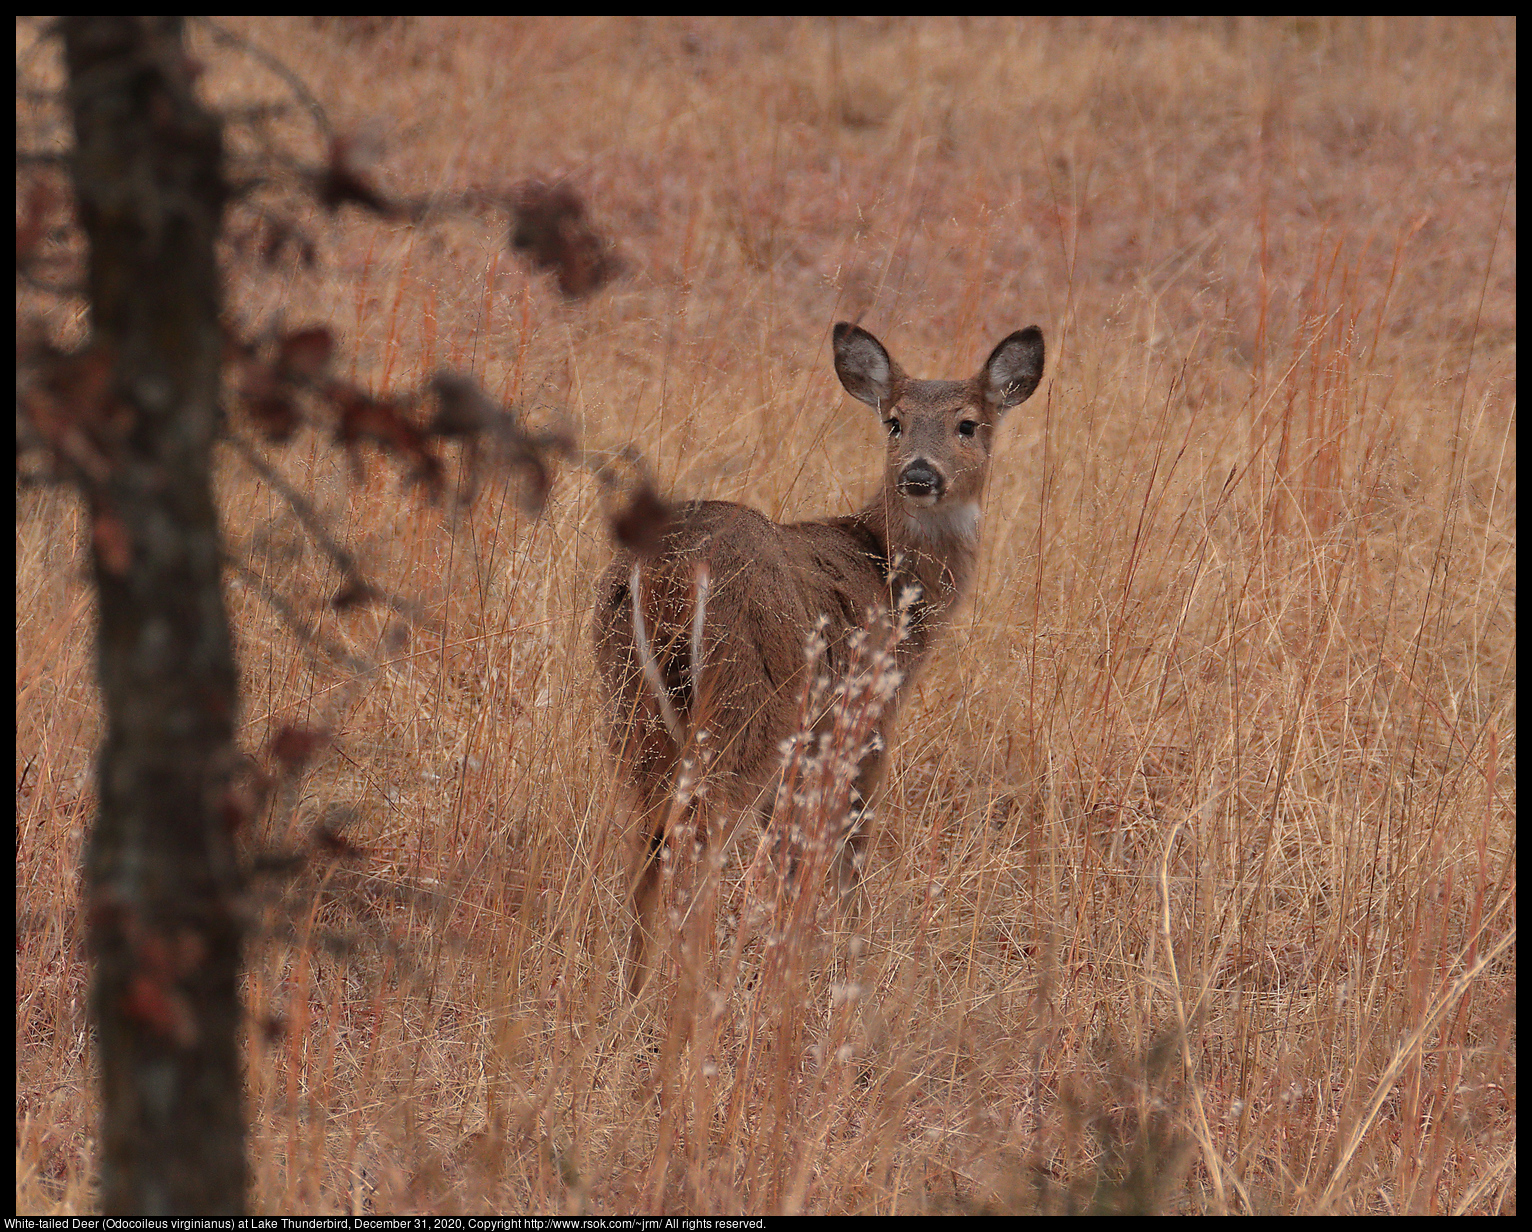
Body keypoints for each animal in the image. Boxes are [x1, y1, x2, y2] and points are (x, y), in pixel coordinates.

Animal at [591, 317, 1047, 992]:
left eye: (967, 424)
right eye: (895, 422)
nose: (919, 474)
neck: (893, 582)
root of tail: (665, 580)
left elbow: (789, 851)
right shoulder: (866, 714)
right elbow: (849, 839)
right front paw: (851, 947)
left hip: (634, 709)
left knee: (649, 840)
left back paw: (637, 985)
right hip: (748, 706)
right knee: (695, 838)